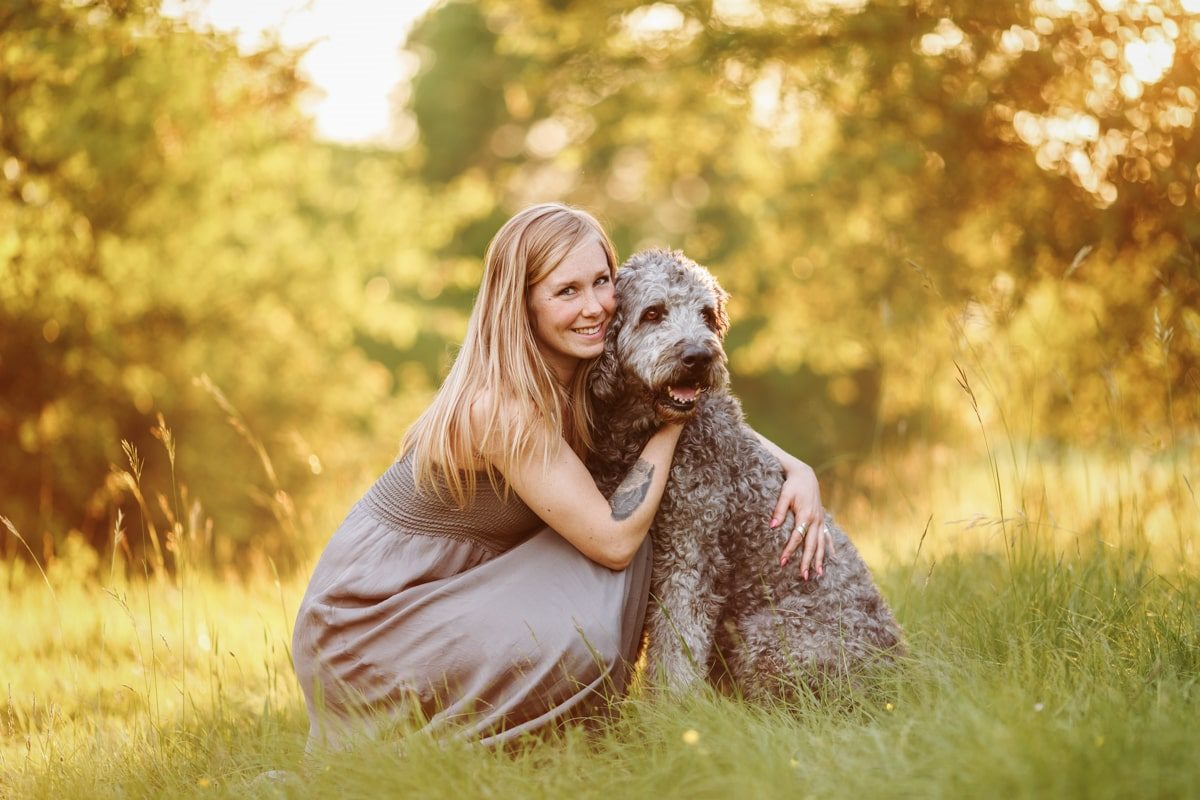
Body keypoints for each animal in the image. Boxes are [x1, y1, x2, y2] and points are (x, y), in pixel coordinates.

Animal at [585, 250, 902, 700]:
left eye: (706, 315)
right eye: (653, 313)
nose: (700, 356)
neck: (638, 433)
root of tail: (901, 667)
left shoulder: (688, 554)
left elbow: (677, 648)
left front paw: (673, 709)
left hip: (768, 636)